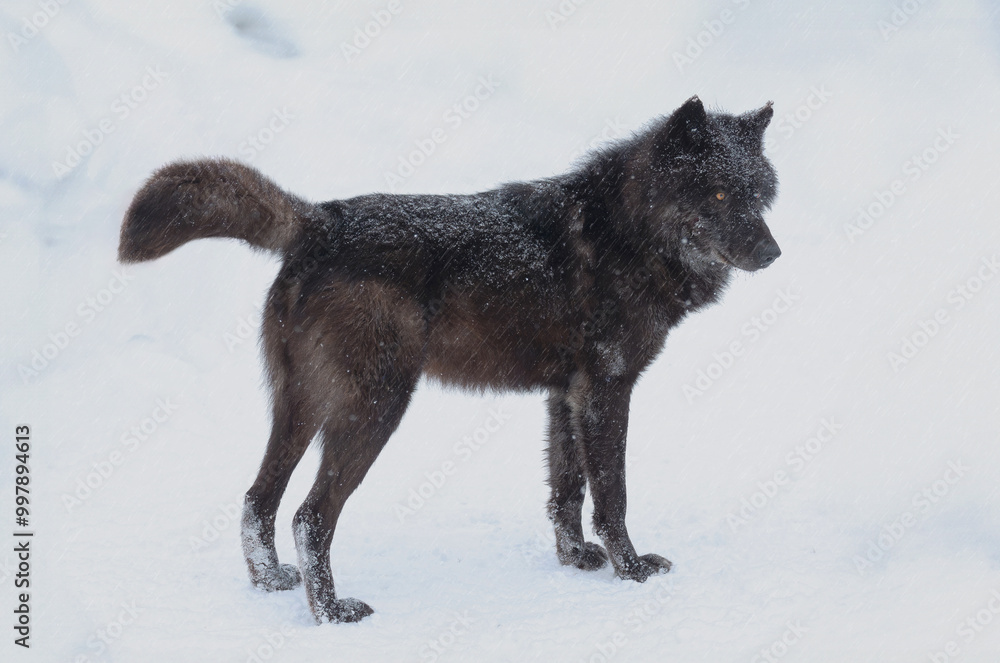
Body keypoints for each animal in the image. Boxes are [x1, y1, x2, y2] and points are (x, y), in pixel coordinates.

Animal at [118, 96, 780, 623]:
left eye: (758, 195)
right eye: (718, 193)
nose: (774, 252)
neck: (628, 233)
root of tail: (320, 221)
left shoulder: (565, 395)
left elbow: (566, 489)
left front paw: (574, 560)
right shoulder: (607, 391)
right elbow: (611, 494)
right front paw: (632, 571)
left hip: (300, 408)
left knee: (258, 500)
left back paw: (273, 583)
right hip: (373, 411)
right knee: (310, 516)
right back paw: (331, 613)